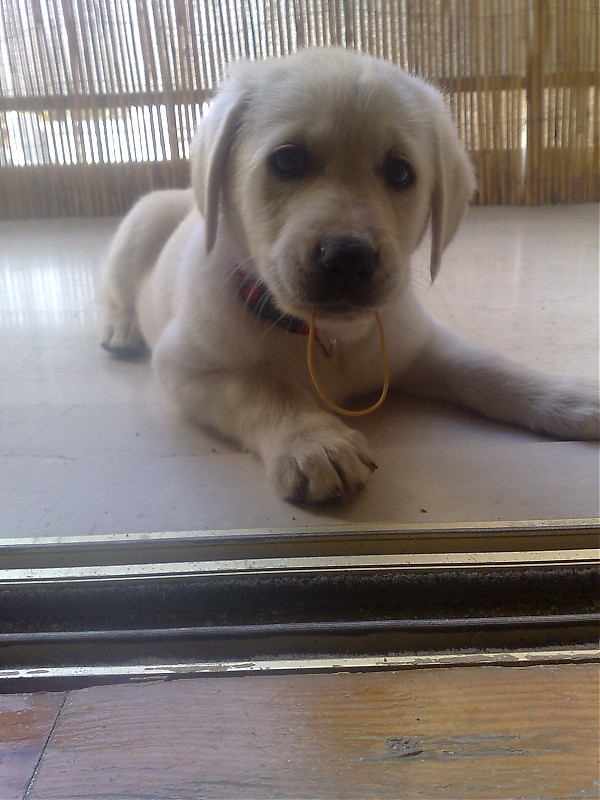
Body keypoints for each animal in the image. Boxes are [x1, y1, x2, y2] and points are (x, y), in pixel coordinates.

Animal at [101, 47, 599, 503]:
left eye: (400, 171)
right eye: (288, 161)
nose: (347, 258)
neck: (328, 338)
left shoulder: (416, 344)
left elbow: (485, 367)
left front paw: (567, 396)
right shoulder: (185, 365)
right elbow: (263, 386)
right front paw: (314, 442)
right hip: (142, 219)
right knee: (117, 291)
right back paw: (121, 328)